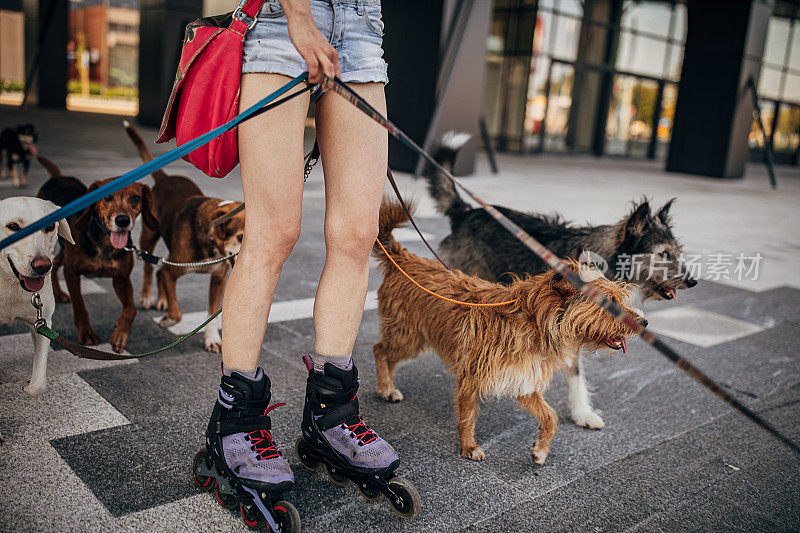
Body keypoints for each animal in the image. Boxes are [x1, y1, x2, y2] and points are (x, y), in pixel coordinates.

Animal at [0, 197, 72, 402]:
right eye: (13, 226)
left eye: (50, 226)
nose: (43, 266)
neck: (11, 284)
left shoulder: (43, 323)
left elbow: (38, 385)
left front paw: (28, 385)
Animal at [36, 156, 158, 352]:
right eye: (107, 197)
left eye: (135, 198)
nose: (122, 220)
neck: (105, 242)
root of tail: (58, 177)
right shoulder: (72, 273)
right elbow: (80, 306)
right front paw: (86, 333)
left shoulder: (121, 279)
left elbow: (131, 309)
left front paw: (120, 333)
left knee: (54, 265)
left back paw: (59, 293)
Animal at [123, 121, 244, 354]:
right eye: (242, 237)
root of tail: (165, 178)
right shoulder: (173, 271)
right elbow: (177, 313)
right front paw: (168, 320)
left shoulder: (218, 278)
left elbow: (211, 314)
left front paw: (212, 338)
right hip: (149, 235)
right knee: (150, 266)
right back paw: (147, 295)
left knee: (158, 270)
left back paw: (162, 300)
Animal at [370, 197, 644, 464]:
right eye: (610, 302)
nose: (644, 322)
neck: (533, 322)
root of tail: (403, 258)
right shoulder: (472, 375)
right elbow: (467, 415)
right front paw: (468, 447)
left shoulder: (522, 378)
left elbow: (550, 416)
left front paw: (540, 450)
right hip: (407, 337)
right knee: (379, 350)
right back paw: (385, 387)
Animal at [424, 133, 692, 432]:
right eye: (663, 254)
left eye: (677, 252)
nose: (692, 281)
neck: (607, 258)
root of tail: (466, 213)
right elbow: (574, 372)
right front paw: (581, 412)